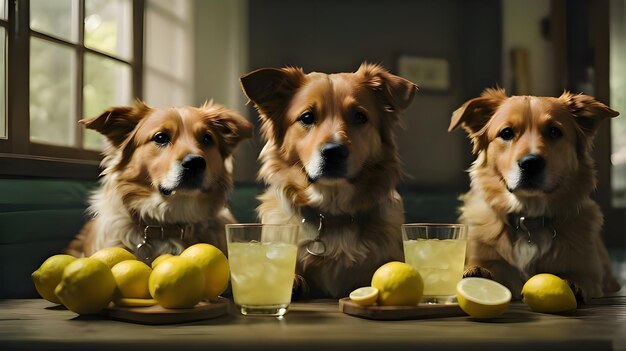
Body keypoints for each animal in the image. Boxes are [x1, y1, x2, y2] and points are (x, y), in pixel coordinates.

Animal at [448, 88, 620, 302]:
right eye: (506, 133)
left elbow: (578, 277)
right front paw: (478, 273)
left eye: (554, 131)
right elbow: (491, 268)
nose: (530, 163)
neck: (528, 221)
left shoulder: (588, 273)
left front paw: (571, 284)